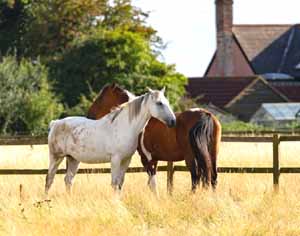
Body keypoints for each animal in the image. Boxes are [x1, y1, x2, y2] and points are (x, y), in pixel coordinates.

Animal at [44, 87, 176, 195]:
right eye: (159, 103)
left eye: (167, 102)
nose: (173, 121)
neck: (125, 126)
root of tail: (55, 123)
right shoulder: (115, 159)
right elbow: (114, 183)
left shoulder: (126, 160)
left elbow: (120, 183)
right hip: (56, 157)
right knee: (49, 179)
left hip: (73, 159)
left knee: (68, 180)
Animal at [85, 84, 221, 193]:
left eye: (100, 99)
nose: (89, 115)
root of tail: (205, 114)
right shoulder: (154, 159)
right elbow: (151, 183)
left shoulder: (146, 158)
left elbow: (152, 183)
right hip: (212, 153)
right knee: (213, 177)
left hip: (190, 156)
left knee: (195, 177)